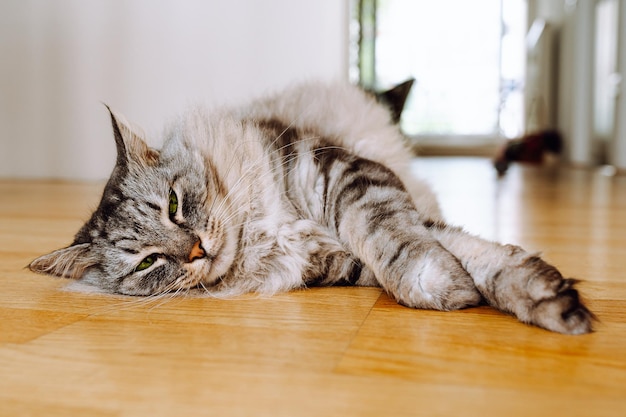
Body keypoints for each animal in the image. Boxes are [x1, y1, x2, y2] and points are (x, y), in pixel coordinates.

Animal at [30, 82, 596, 334]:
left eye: (173, 205)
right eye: (148, 262)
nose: (196, 251)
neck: (262, 234)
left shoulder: (342, 177)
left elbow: (405, 239)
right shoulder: (344, 263)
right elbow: (458, 254)